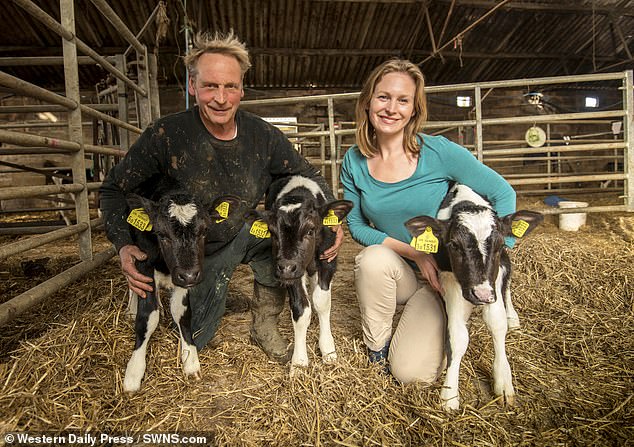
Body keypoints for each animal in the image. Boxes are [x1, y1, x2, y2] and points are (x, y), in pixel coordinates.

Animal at [122, 185, 238, 392]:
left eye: (204, 230)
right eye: (161, 234)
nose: (190, 275)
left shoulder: (184, 280)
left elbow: (181, 313)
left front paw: (190, 360)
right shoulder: (145, 266)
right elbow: (147, 317)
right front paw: (134, 370)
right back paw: (131, 309)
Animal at [246, 177, 350, 372]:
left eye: (310, 230)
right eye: (272, 233)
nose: (286, 267)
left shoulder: (328, 260)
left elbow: (322, 302)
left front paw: (328, 350)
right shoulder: (291, 274)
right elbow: (301, 308)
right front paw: (299, 363)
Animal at [404, 184, 540, 412]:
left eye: (500, 244)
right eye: (453, 245)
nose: (481, 294)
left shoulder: (494, 278)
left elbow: (497, 323)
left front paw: (504, 381)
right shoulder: (448, 279)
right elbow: (457, 337)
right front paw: (449, 394)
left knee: (507, 286)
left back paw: (513, 317)